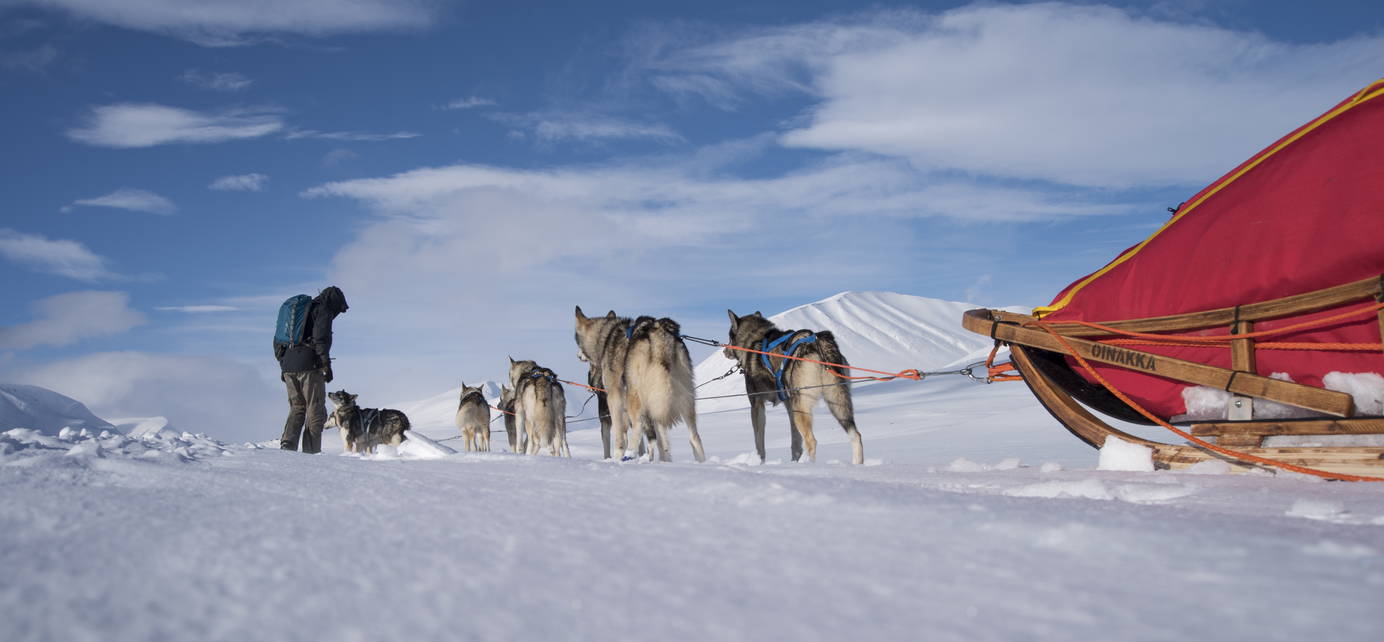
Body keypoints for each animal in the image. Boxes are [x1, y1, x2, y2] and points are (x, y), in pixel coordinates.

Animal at [572, 307, 708, 462]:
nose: (578, 355)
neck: (605, 337)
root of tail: (659, 333)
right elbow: (662, 441)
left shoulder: (614, 398)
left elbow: (620, 434)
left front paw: (617, 456)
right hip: (682, 397)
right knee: (694, 437)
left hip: (634, 394)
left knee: (637, 427)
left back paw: (628, 455)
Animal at [725, 309, 863, 464]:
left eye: (729, 337)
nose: (725, 350)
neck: (754, 339)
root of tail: (818, 342)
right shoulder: (789, 405)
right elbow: (795, 441)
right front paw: (794, 461)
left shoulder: (756, 405)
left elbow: (759, 442)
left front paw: (760, 462)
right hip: (836, 401)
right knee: (855, 435)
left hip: (802, 406)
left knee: (811, 441)